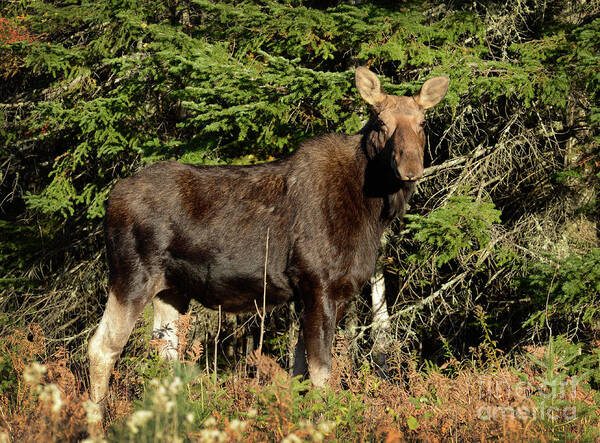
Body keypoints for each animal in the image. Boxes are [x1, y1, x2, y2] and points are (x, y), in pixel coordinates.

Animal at [86, 66, 448, 406]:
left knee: (165, 354)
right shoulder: (317, 283)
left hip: (171, 290)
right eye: (381, 123)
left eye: (423, 123)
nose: (410, 167)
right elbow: (321, 375)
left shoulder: (324, 293)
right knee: (101, 347)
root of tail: (110, 198)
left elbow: (300, 373)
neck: (372, 211)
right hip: (132, 275)